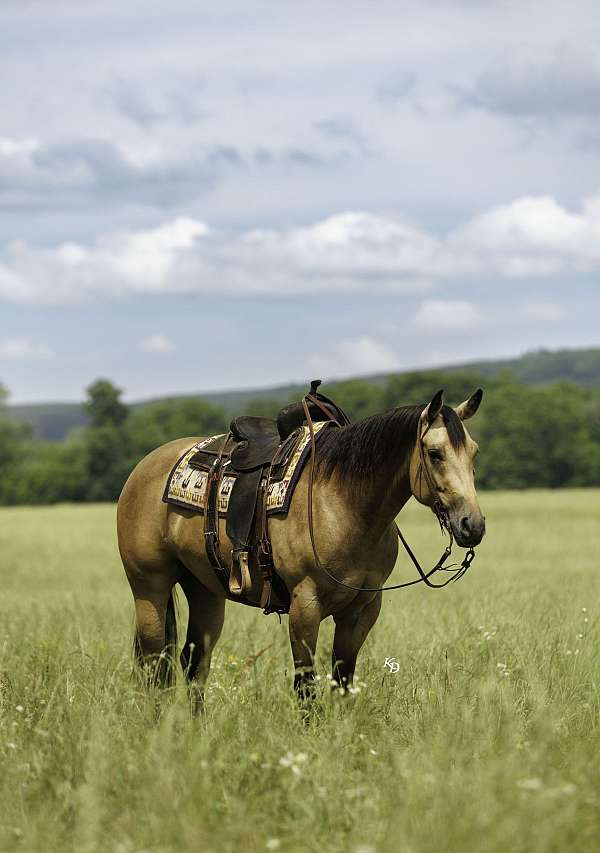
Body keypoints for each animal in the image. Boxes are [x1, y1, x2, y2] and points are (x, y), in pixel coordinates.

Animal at [117, 388, 485, 707]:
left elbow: (343, 682)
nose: (473, 525)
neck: (344, 502)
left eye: (474, 453)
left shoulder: (362, 609)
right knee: (153, 664)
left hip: (204, 590)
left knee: (194, 664)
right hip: (149, 588)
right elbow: (306, 686)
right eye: (435, 454)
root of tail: (144, 467)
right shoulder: (305, 605)